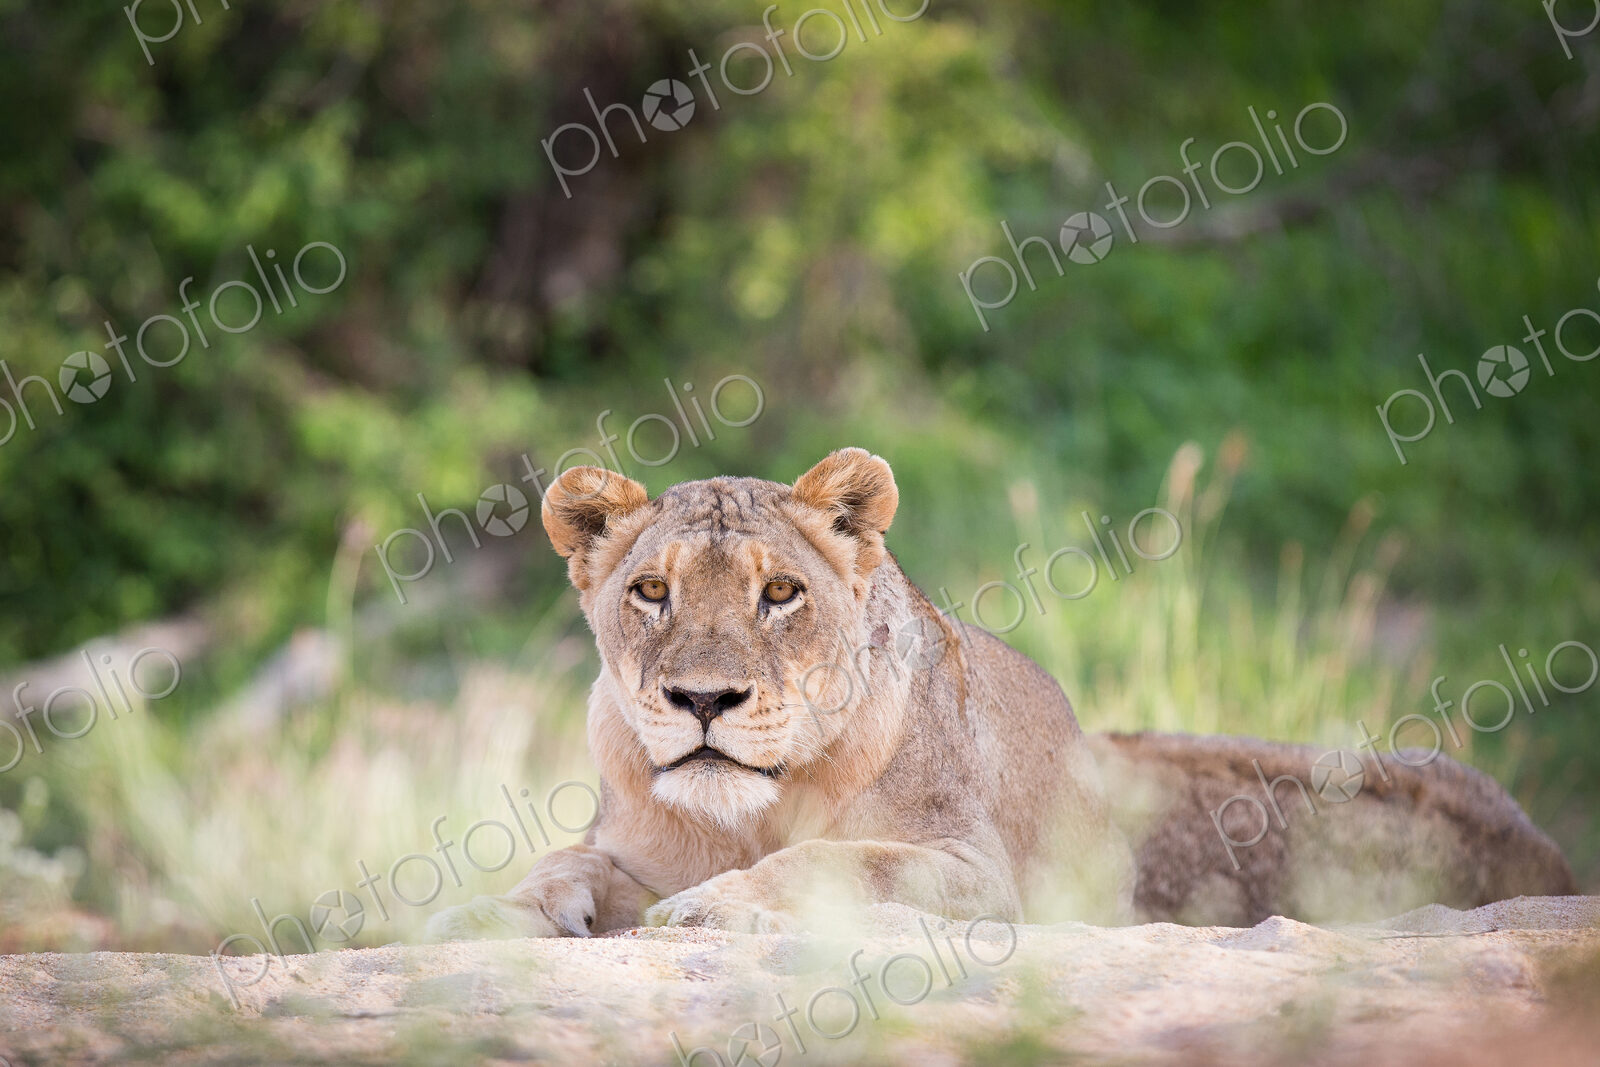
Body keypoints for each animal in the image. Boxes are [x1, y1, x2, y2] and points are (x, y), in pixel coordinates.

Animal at [426, 448, 1575, 941]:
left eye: (781, 591)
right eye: (651, 591)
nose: (703, 699)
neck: (749, 809)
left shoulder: (975, 872)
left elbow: (835, 860)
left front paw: (716, 903)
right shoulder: (627, 845)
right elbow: (564, 860)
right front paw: (491, 910)